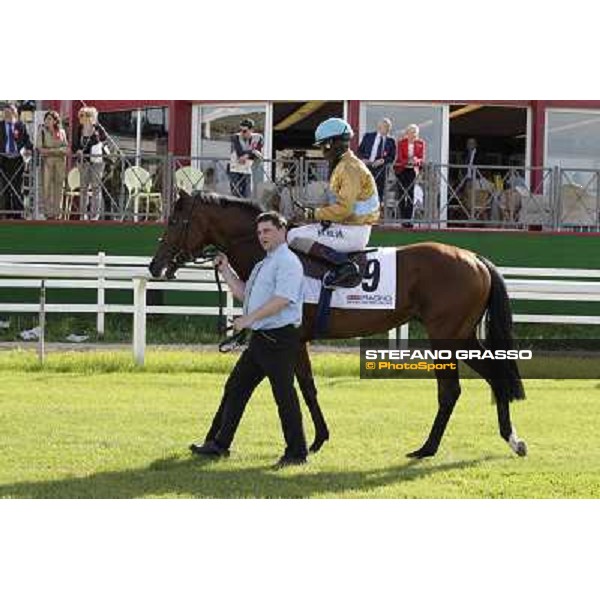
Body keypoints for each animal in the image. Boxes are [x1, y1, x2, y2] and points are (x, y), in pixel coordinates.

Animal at [148, 192, 528, 460]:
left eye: (176, 220)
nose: (154, 266)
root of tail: (475, 258)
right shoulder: (294, 340)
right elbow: (288, 386)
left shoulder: (295, 338)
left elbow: (302, 387)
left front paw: (312, 440)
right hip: (461, 336)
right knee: (495, 376)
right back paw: (512, 440)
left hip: (444, 337)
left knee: (450, 391)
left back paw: (427, 448)